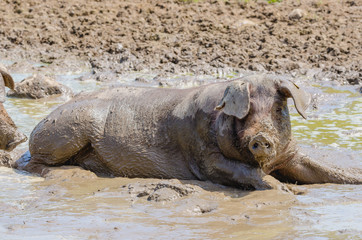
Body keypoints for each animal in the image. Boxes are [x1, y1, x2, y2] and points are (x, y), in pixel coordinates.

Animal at [20, 73, 362, 189]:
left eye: (279, 110)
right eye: (246, 113)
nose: (261, 138)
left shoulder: (290, 154)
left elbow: (321, 169)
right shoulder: (205, 159)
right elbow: (244, 172)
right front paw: (290, 191)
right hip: (67, 129)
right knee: (33, 163)